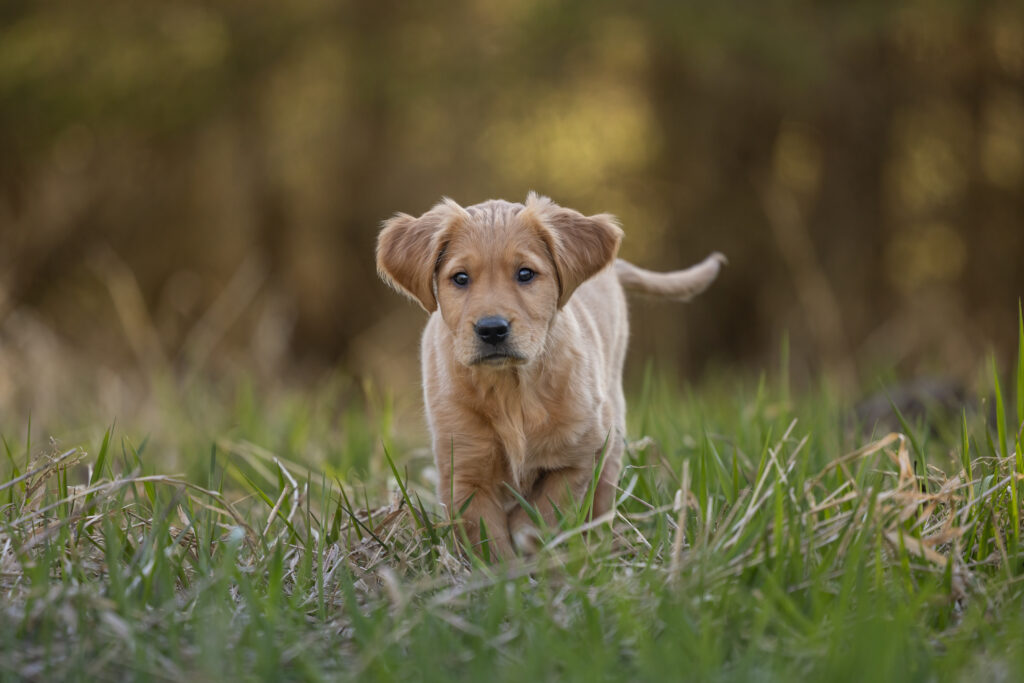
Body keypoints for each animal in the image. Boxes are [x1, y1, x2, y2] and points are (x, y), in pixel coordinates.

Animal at [378, 192, 729, 561]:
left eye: (525, 274)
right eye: (460, 278)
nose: (492, 329)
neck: (511, 387)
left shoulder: (577, 457)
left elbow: (543, 514)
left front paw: (537, 552)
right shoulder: (464, 472)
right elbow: (489, 542)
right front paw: (504, 571)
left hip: (612, 429)